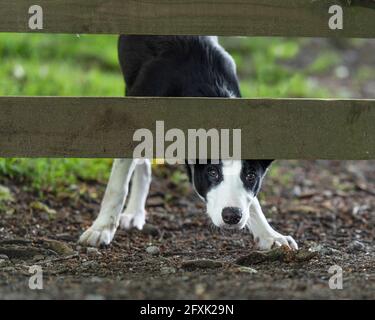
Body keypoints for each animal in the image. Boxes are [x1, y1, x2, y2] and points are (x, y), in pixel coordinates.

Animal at [78, 36, 298, 251]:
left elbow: (252, 202)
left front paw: (269, 235)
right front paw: (102, 228)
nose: (232, 216)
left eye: (251, 176)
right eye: (212, 172)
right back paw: (133, 213)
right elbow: (117, 186)